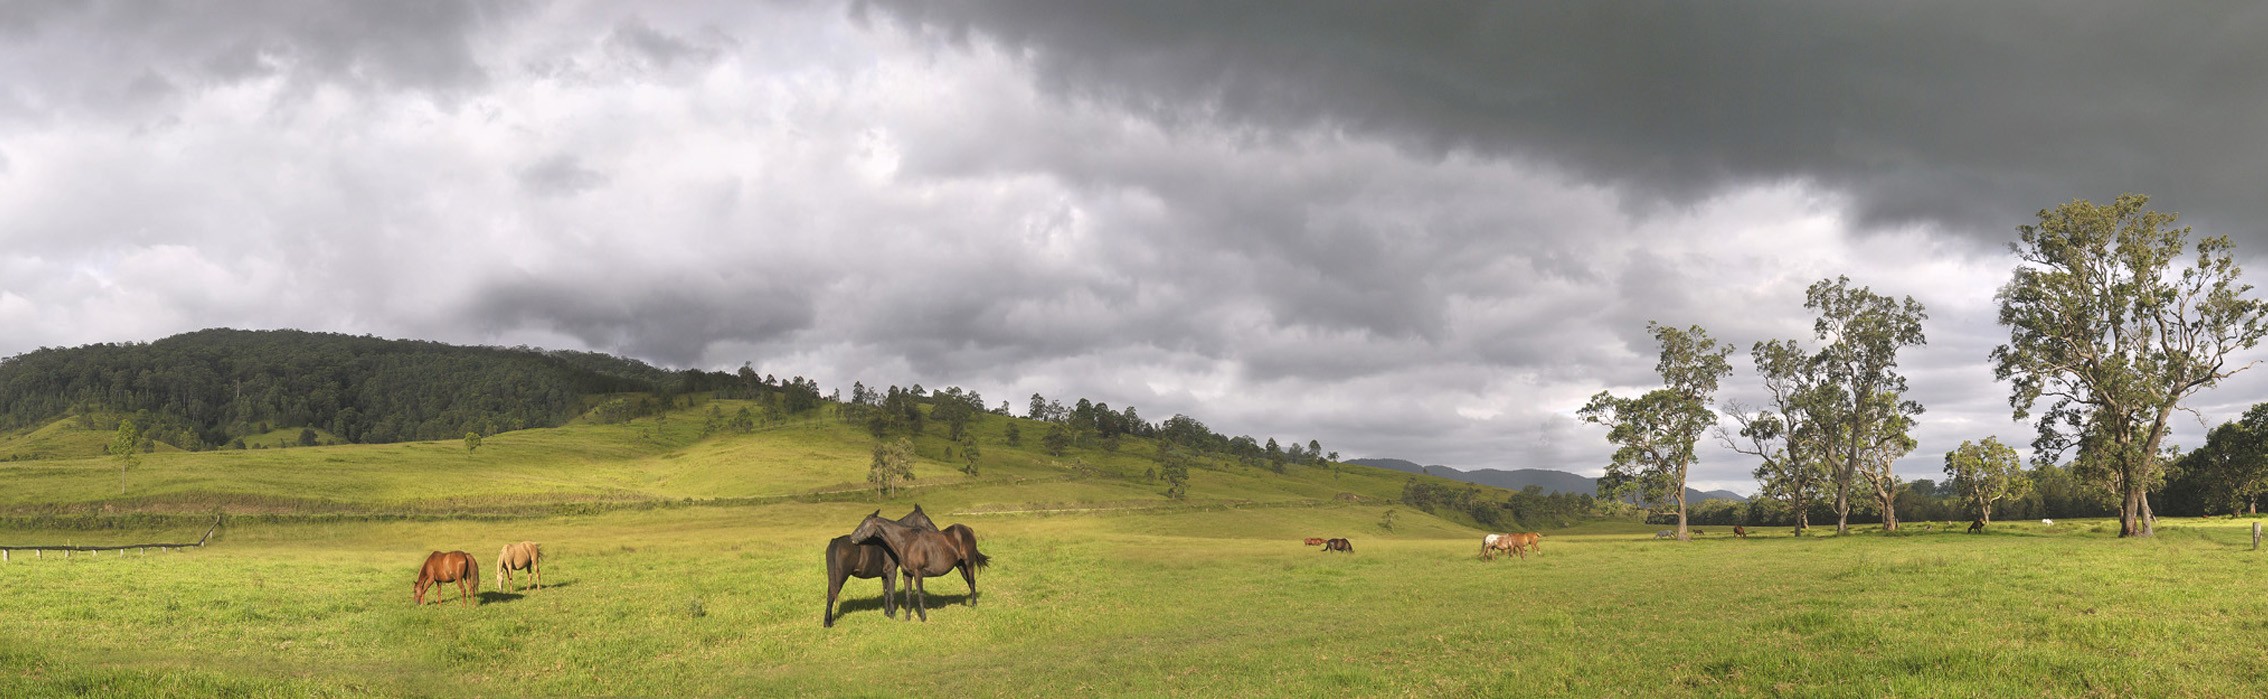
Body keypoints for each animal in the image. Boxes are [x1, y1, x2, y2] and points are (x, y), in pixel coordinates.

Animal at [848, 510, 988, 621]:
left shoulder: (917, 572)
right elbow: (908, 595)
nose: (852, 538)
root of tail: (968, 529)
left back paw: (974, 605)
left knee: (972, 582)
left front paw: (923, 617)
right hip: (960, 566)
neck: (907, 543)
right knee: (969, 582)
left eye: (865, 524)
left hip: (969, 563)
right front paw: (907, 618)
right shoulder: (906, 574)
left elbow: (920, 594)